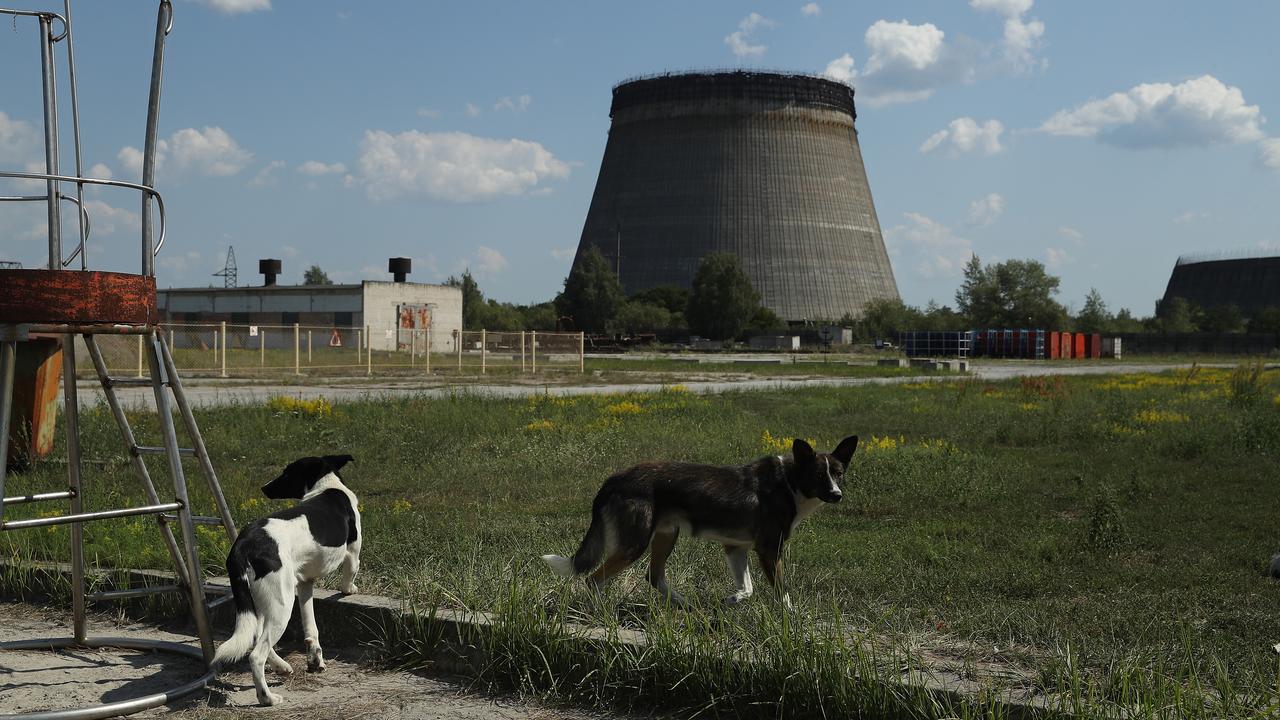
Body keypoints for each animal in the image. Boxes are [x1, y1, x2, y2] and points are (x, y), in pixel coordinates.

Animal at [211, 450, 360, 702]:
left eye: (287, 473)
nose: (264, 487)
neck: (327, 485)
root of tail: (244, 543)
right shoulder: (352, 550)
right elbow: (350, 571)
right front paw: (349, 590)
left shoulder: (305, 583)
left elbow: (311, 627)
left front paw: (315, 659)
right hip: (282, 603)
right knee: (256, 655)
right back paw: (267, 697)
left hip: (262, 602)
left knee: (257, 636)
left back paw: (282, 667)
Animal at [542, 438, 860, 604]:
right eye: (818, 475)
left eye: (839, 473)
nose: (837, 495)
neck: (790, 483)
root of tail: (613, 479)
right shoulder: (770, 550)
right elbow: (781, 593)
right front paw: (789, 622)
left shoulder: (736, 547)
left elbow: (747, 587)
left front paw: (733, 600)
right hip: (636, 543)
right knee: (594, 579)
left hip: (666, 534)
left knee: (654, 576)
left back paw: (684, 605)